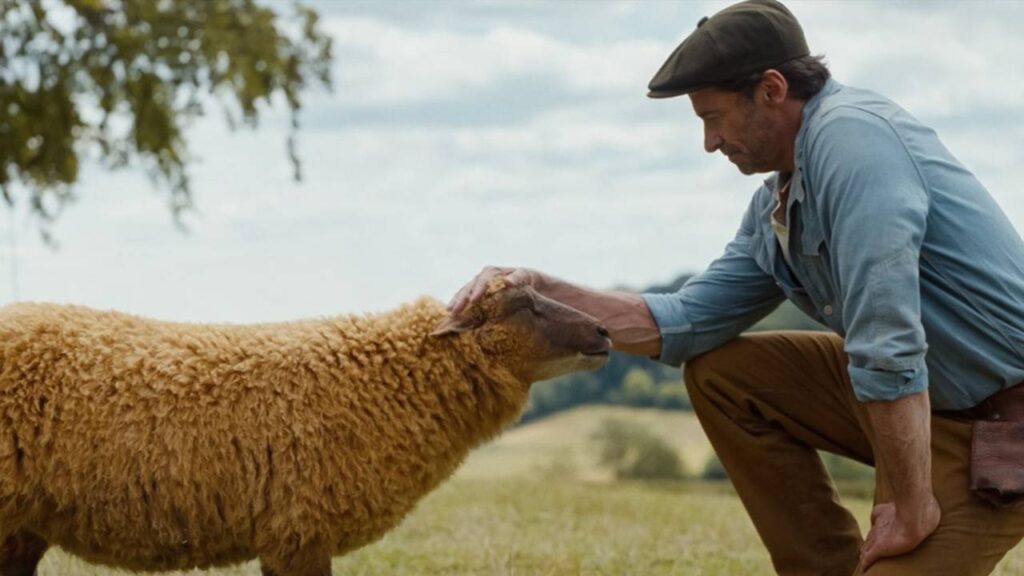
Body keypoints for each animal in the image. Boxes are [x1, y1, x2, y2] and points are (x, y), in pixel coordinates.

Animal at [0, 280, 611, 575]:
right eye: (525, 306)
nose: (605, 332)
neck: (377, 382)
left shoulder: (286, 539)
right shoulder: (301, 531)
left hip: (23, 526)